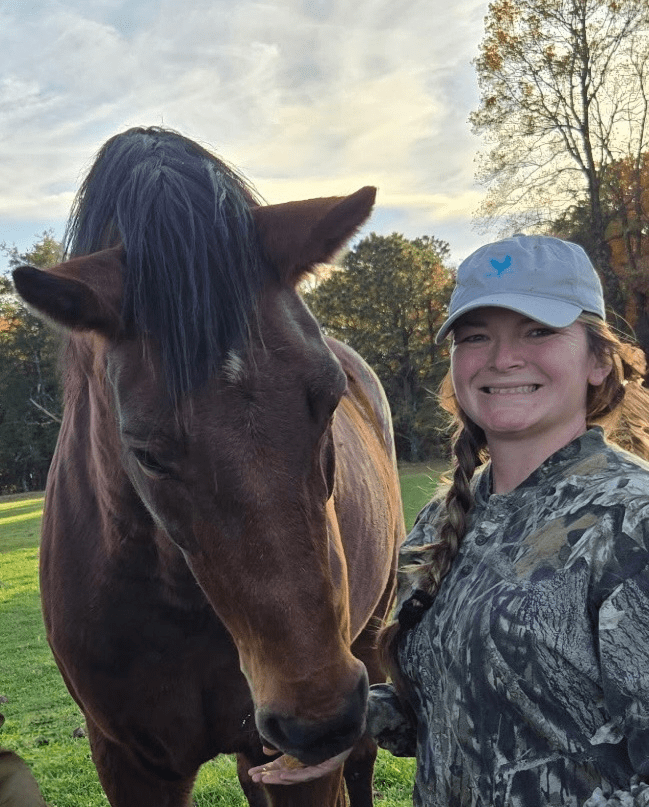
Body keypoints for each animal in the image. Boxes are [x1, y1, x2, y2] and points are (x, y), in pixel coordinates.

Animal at [12, 127, 405, 807]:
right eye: (145, 452)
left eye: (328, 398)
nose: (319, 718)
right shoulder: (130, 763)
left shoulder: (303, 765)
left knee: (361, 760)